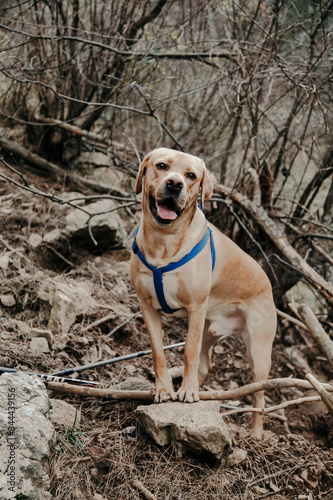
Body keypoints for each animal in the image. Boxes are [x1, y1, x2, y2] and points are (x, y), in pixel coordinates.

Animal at [129, 146, 274, 436]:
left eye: (191, 176)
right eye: (161, 166)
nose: (175, 184)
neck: (164, 242)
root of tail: (269, 284)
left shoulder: (196, 309)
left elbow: (189, 351)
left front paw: (188, 391)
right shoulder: (147, 306)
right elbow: (158, 352)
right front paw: (164, 389)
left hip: (258, 352)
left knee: (259, 393)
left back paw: (255, 432)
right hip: (210, 330)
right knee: (205, 363)